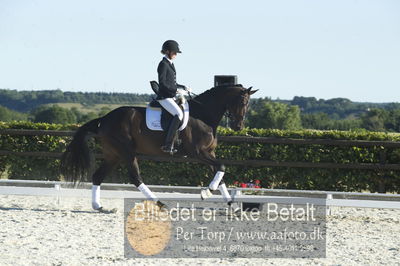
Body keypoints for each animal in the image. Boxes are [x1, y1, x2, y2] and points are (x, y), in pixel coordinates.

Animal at [61, 84, 258, 213]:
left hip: (113, 155)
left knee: (98, 176)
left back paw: (99, 207)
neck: (204, 116)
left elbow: (220, 172)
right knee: (135, 178)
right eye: (242, 102)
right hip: (127, 152)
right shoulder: (198, 153)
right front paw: (206, 193)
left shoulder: (209, 153)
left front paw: (232, 206)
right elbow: (222, 167)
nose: (238, 126)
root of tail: (105, 118)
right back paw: (160, 203)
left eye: (249, 104)